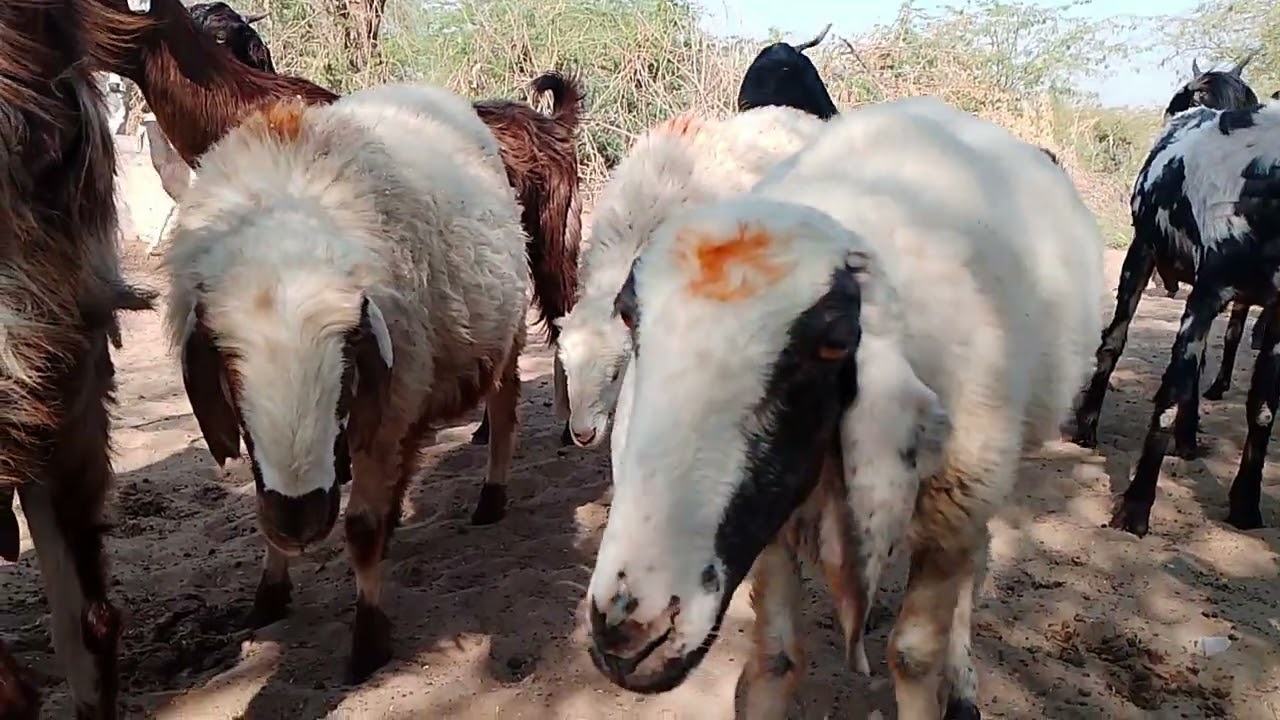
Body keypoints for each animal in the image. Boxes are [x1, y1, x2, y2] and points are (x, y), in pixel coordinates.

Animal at [162, 84, 531, 682]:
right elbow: (266, 515)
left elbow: (359, 529)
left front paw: (368, 641)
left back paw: (490, 497)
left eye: (342, 378)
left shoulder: (383, 413)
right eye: (236, 390)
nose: (301, 521)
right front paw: (270, 593)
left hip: (503, 334)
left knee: (501, 408)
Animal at [583, 96, 1102, 719]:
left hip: (984, 479)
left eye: (832, 343)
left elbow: (912, 656)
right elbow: (776, 658)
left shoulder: (953, 506)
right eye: (628, 315)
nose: (628, 633)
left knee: (973, 566)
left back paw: (963, 685)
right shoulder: (776, 522)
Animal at [1076, 101, 1280, 537]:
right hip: (1141, 256)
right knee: (1114, 342)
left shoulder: (1276, 315)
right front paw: (1136, 506)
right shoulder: (1206, 295)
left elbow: (1264, 408)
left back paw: (1188, 439)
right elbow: (1171, 391)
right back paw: (1087, 424)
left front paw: (1246, 503)